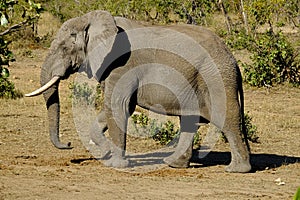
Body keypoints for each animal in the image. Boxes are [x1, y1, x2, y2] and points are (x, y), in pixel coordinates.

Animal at [25, 10, 251, 173]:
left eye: (64, 48)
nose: (68, 143)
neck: (93, 20)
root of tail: (232, 59)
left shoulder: (123, 64)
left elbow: (118, 105)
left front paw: (115, 164)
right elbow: (116, 108)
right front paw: (106, 151)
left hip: (215, 78)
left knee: (226, 117)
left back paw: (236, 170)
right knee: (189, 120)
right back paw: (173, 163)